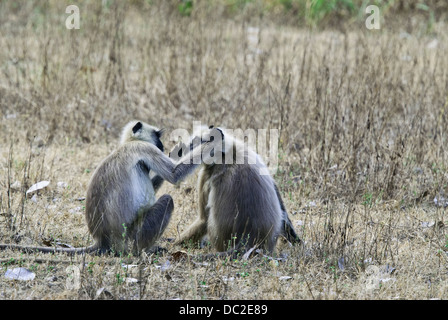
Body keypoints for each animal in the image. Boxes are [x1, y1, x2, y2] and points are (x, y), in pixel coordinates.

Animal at [0, 121, 214, 256]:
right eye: (156, 136)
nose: (161, 145)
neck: (127, 144)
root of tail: (102, 240)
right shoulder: (142, 148)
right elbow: (174, 174)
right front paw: (210, 141)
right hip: (133, 236)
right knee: (167, 201)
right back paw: (145, 250)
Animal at [171, 125, 300, 258]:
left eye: (193, 144)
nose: (180, 151)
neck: (228, 154)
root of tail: (248, 238)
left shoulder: (206, 176)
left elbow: (203, 219)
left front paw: (173, 243)